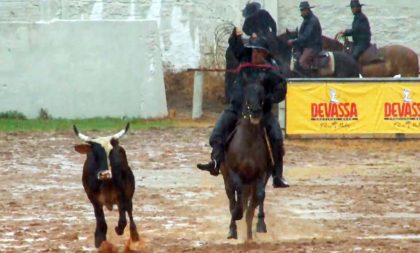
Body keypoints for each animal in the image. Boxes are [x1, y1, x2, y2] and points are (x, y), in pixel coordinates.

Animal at [221, 72, 270, 240]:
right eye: (247, 92)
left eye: (262, 92)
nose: (255, 112)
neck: (248, 141)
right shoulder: (234, 172)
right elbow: (237, 197)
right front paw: (238, 214)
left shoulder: (261, 174)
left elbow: (258, 197)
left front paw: (251, 232)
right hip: (227, 177)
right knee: (231, 197)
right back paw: (232, 230)